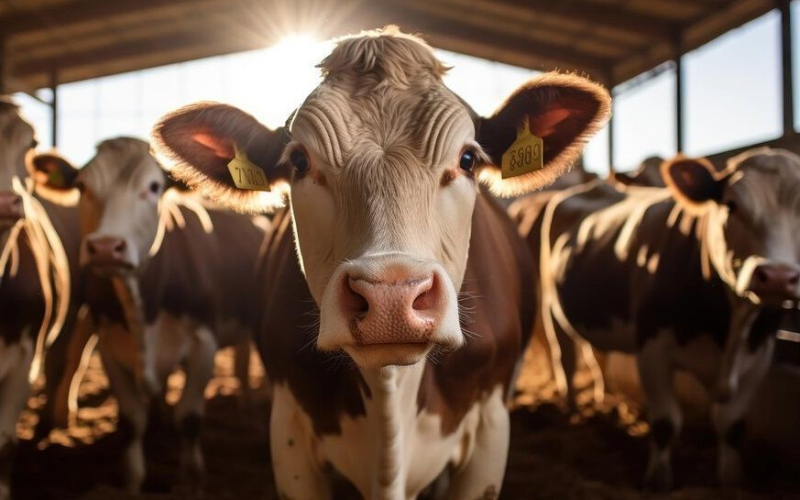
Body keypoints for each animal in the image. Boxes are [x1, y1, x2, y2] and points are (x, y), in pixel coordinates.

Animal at [32, 137, 265, 493]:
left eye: (154, 187)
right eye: (81, 186)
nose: (105, 247)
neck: (144, 304)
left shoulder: (204, 344)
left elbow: (189, 418)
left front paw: (192, 481)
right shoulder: (111, 346)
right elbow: (132, 421)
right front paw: (132, 481)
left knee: (241, 363)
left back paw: (248, 407)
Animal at [524, 149, 800, 490]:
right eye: (731, 205)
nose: (777, 277)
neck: (729, 324)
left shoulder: (760, 354)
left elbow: (732, 426)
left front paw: (731, 480)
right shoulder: (652, 348)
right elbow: (666, 423)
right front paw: (659, 481)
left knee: (598, 358)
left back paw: (608, 401)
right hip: (552, 309)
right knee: (566, 360)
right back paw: (573, 412)